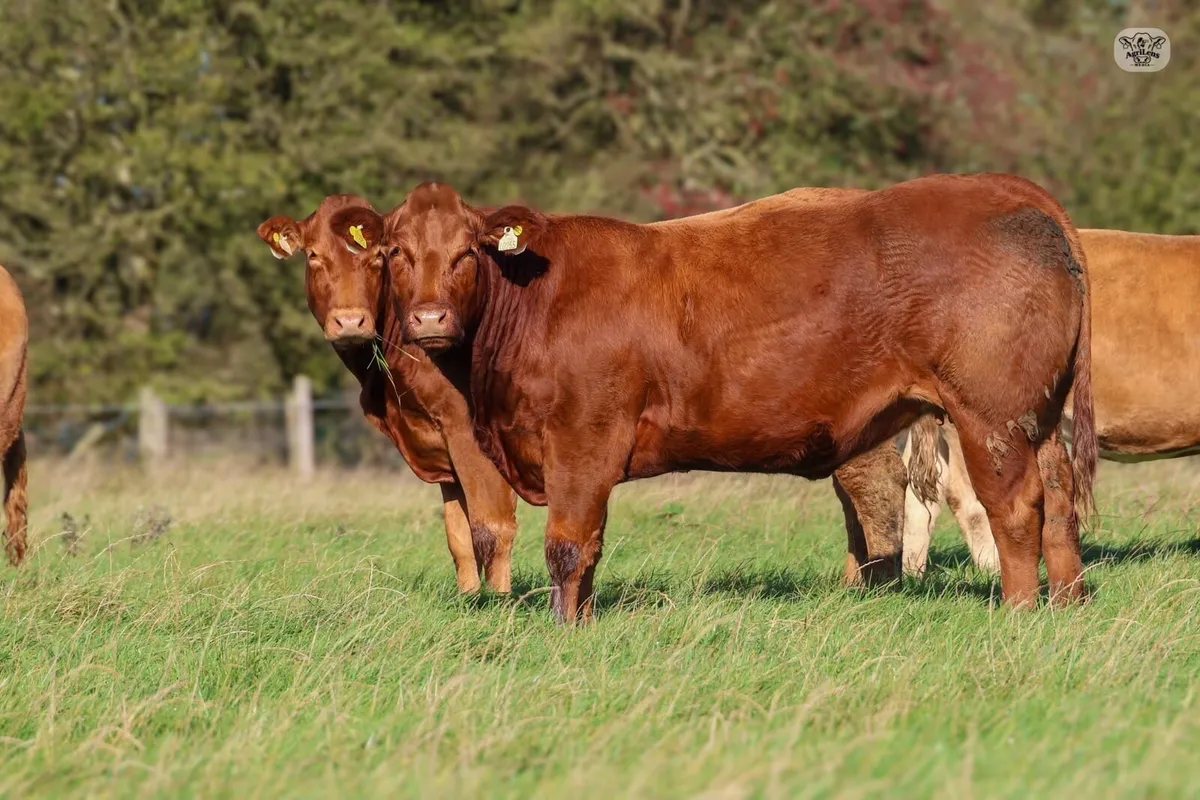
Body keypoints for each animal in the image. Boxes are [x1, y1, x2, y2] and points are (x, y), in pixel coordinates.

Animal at [256, 195, 519, 593]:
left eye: (380, 256)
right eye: (314, 255)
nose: (350, 321)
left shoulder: (470, 435)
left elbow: (493, 527)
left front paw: (501, 605)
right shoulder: (443, 448)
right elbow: (458, 535)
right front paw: (471, 598)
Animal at [365, 175, 1097, 623]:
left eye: (467, 253)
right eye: (396, 252)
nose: (428, 319)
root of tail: (1001, 187)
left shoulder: (581, 440)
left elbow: (569, 545)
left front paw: (566, 626)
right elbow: (585, 547)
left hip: (991, 417)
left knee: (1015, 507)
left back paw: (1021, 608)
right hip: (1040, 418)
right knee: (1061, 502)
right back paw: (1068, 601)